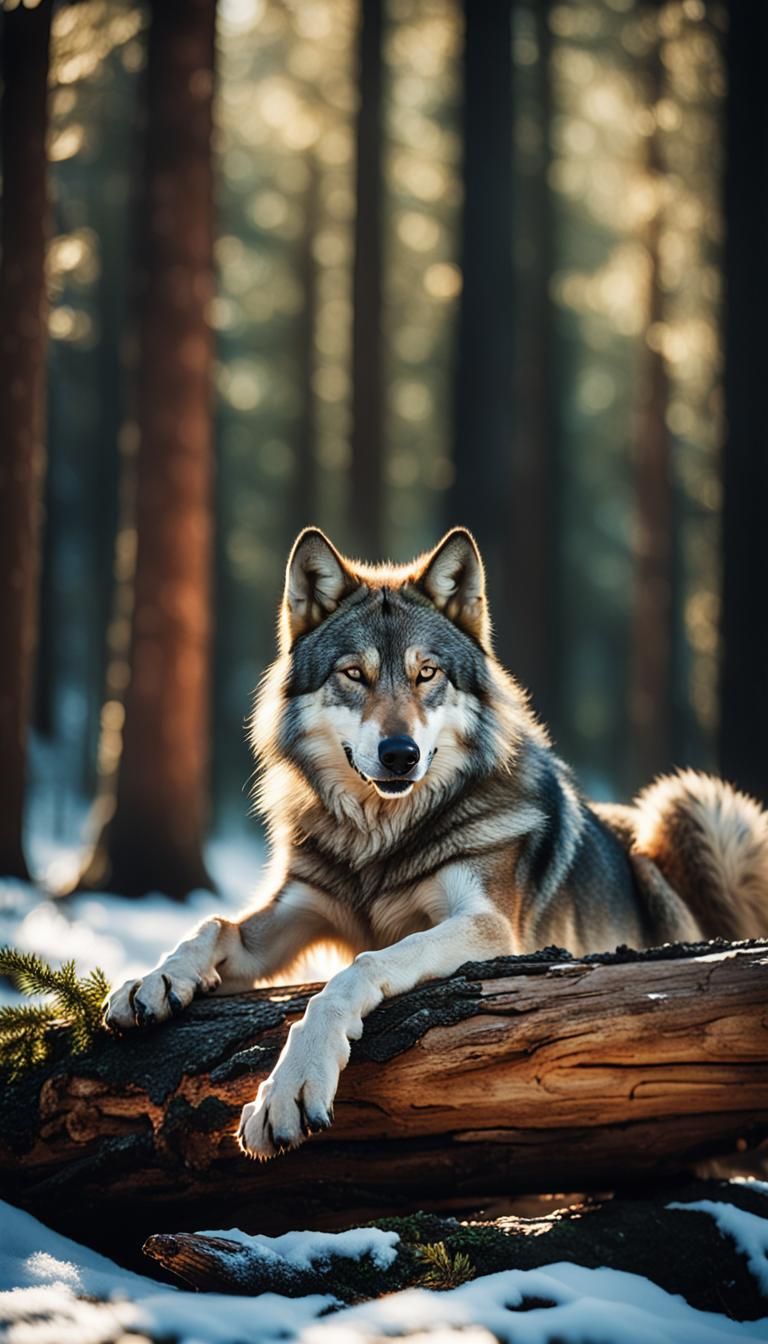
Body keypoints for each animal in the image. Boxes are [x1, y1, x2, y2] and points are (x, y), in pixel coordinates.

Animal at [105, 527, 768, 1160]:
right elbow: (214, 924)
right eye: (355, 674)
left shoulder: (488, 926)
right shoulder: (298, 909)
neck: (381, 838)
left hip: (691, 807)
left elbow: (361, 966)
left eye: (427, 674)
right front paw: (153, 981)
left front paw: (289, 1091)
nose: (401, 753)